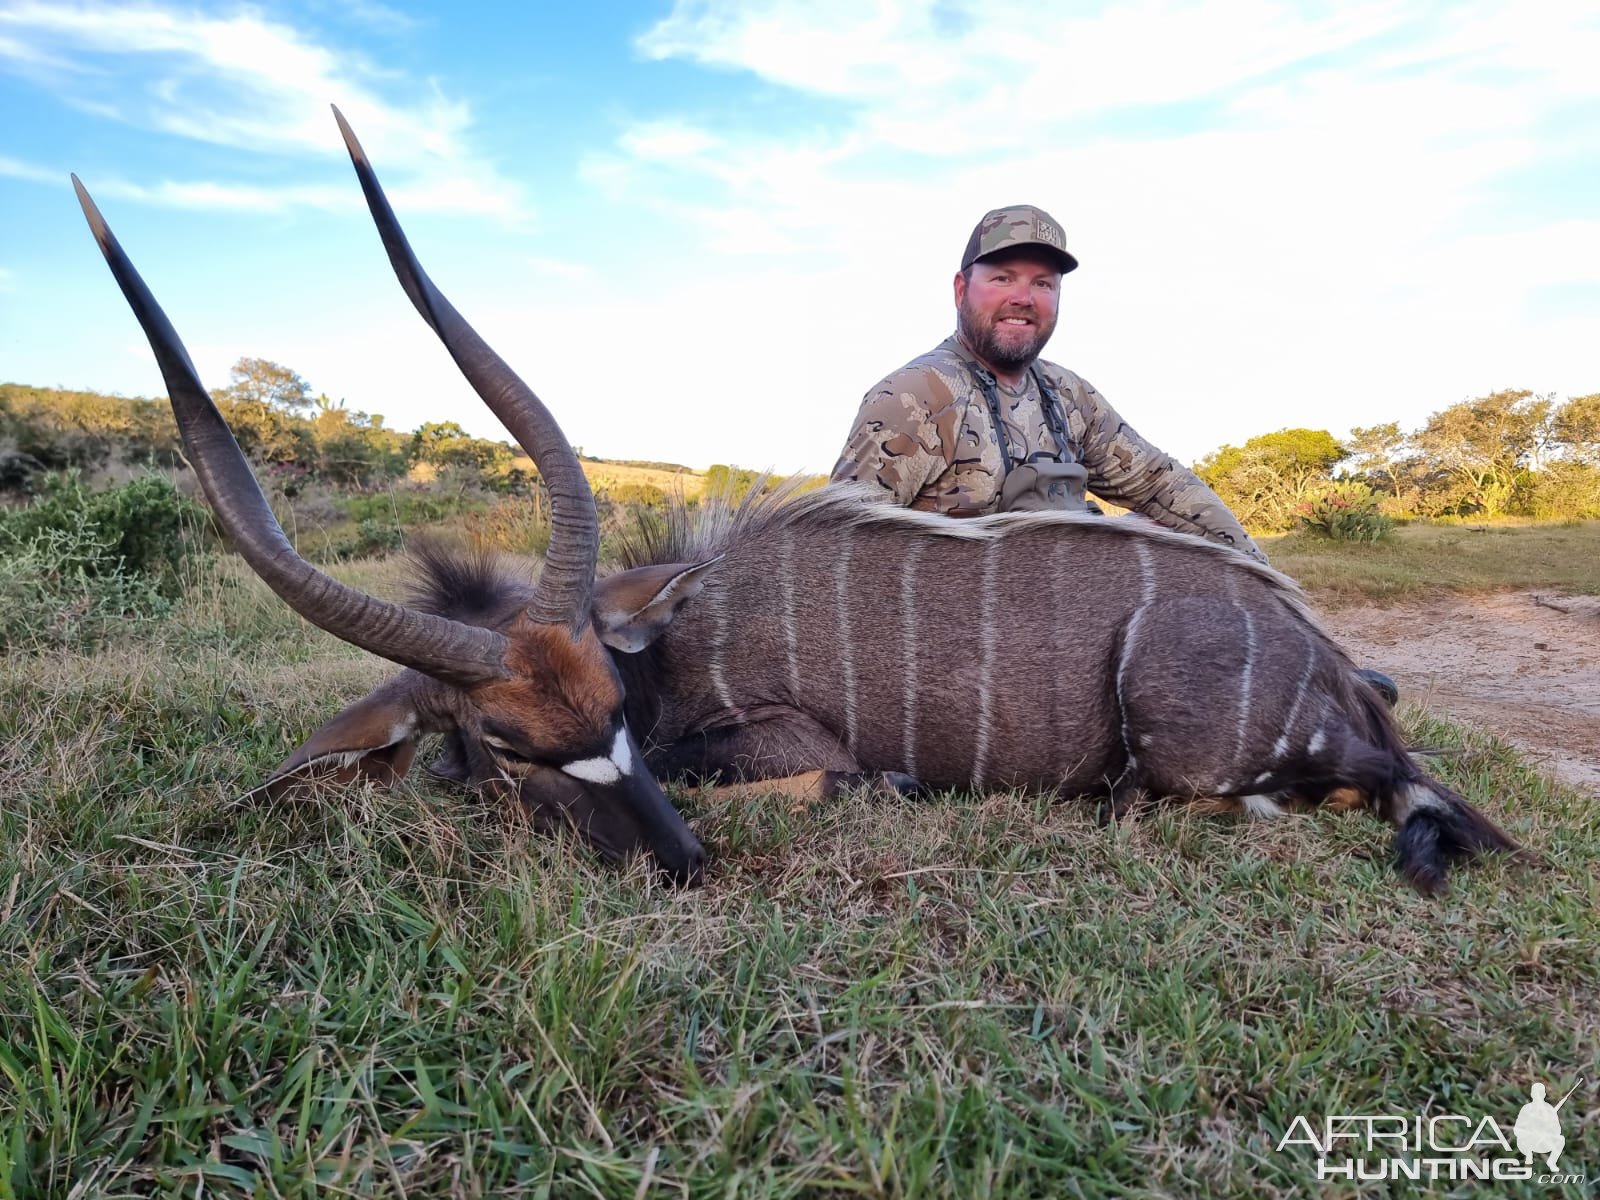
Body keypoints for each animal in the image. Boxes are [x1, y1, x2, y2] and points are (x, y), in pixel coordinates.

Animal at [75, 108, 1516, 896]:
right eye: (507, 746)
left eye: (607, 718)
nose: (678, 863)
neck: (668, 647)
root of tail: (1336, 673)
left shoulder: (784, 747)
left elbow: (818, 779)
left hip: (1198, 759)